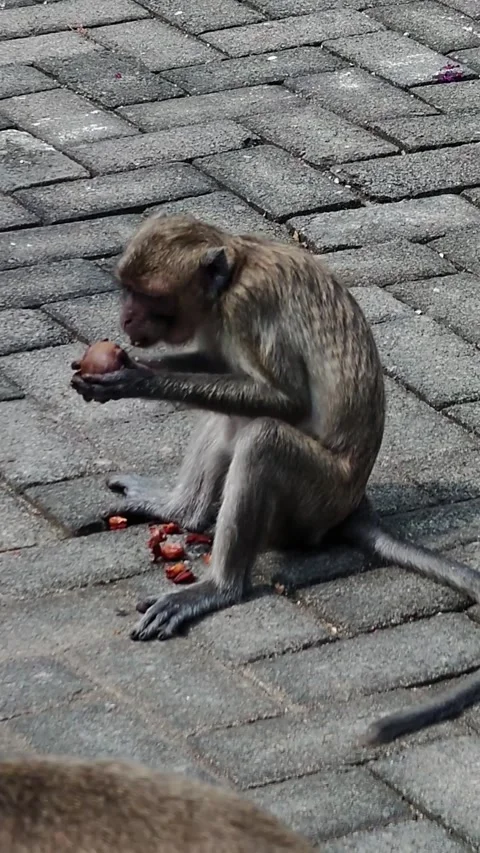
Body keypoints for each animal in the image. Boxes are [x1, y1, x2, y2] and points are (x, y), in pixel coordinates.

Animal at [71, 214, 480, 737]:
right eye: (127, 291)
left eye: (148, 297)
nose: (125, 319)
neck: (230, 280)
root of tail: (354, 503)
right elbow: (220, 368)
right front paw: (127, 367)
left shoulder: (248, 309)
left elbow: (286, 400)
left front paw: (133, 378)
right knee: (231, 416)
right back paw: (183, 511)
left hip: (314, 499)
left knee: (262, 436)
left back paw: (221, 587)